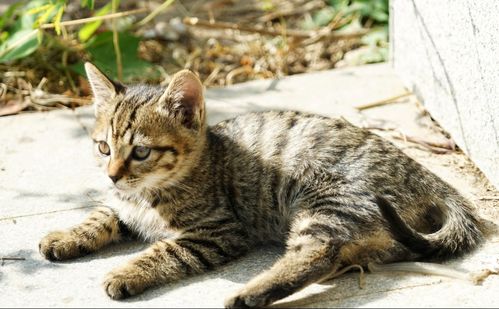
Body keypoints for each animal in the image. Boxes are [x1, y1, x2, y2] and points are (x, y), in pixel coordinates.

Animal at [39, 62, 484, 306]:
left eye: (142, 152)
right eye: (102, 147)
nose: (111, 174)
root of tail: (421, 171)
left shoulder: (218, 231)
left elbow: (166, 250)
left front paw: (126, 272)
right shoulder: (121, 203)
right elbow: (101, 215)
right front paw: (65, 236)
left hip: (327, 203)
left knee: (316, 253)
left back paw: (249, 293)